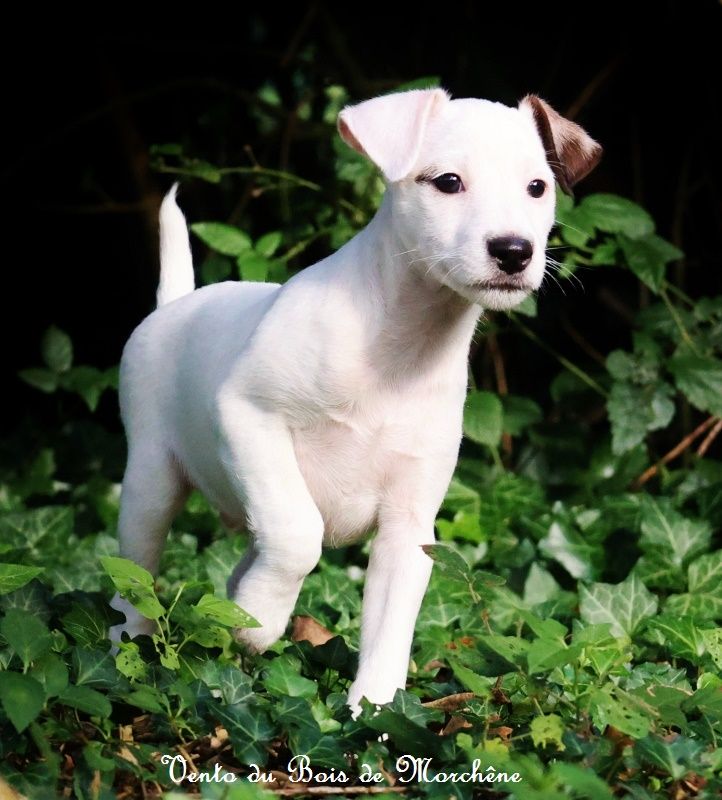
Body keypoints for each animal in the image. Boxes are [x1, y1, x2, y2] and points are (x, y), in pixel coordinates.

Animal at [109, 89, 600, 712]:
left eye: (538, 186)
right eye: (448, 182)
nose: (514, 251)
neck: (399, 347)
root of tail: (173, 306)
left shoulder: (409, 526)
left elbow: (390, 626)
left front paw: (377, 713)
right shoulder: (248, 417)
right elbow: (299, 533)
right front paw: (261, 621)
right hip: (150, 485)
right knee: (135, 576)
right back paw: (133, 650)